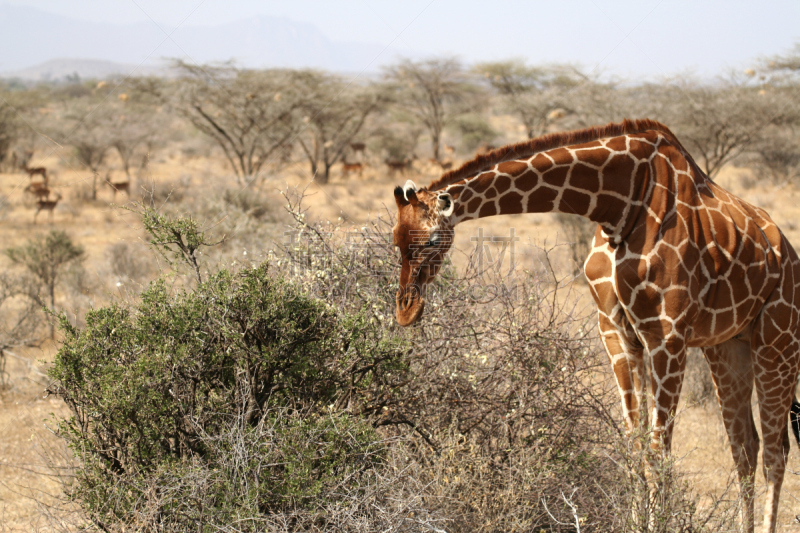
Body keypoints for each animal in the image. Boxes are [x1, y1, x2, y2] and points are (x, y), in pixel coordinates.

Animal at [390, 118, 800, 528]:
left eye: (430, 241)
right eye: (395, 239)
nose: (405, 311)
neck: (619, 204)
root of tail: (789, 254)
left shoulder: (668, 336)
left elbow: (659, 452)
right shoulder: (618, 332)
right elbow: (634, 444)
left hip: (778, 342)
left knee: (775, 451)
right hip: (727, 346)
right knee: (745, 446)